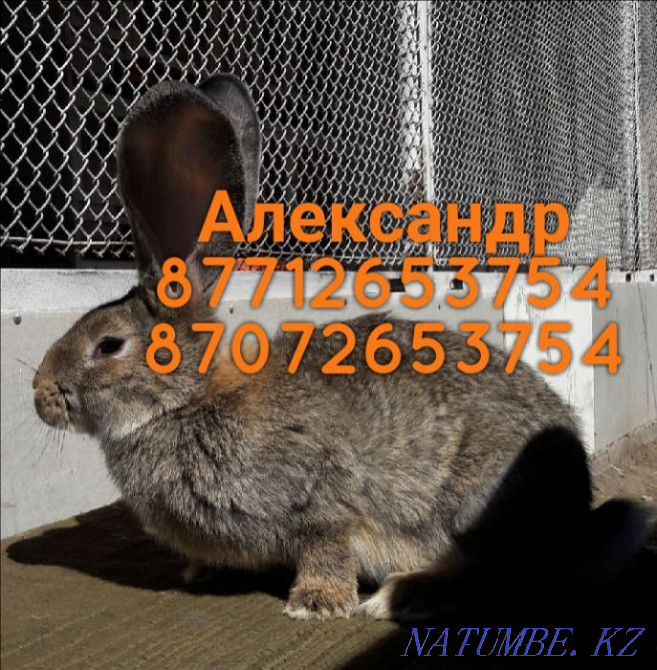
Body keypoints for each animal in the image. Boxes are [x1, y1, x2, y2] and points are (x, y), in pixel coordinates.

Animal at [32, 74, 645, 622]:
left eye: (108, 344)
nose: (39, 395)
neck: (188, 398)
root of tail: (574, 515)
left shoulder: (321, 498)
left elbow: (327, 545)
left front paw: (315, 604)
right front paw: (203, 571)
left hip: (475, 502)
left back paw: (403, 595)